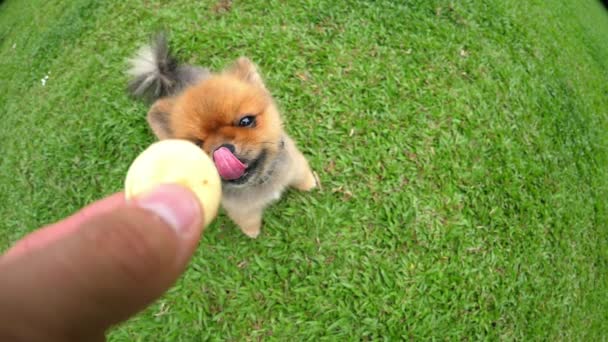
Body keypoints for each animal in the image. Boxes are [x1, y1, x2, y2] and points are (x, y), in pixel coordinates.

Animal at [128, 35, 318, 238]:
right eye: (197, 144)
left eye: (246, 121)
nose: (222, 149)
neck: (259, 180)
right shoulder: (242, 210)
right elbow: (249, 220)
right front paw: (252, 232)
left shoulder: (295, 165)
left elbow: (302, 176)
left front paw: (310, 184)